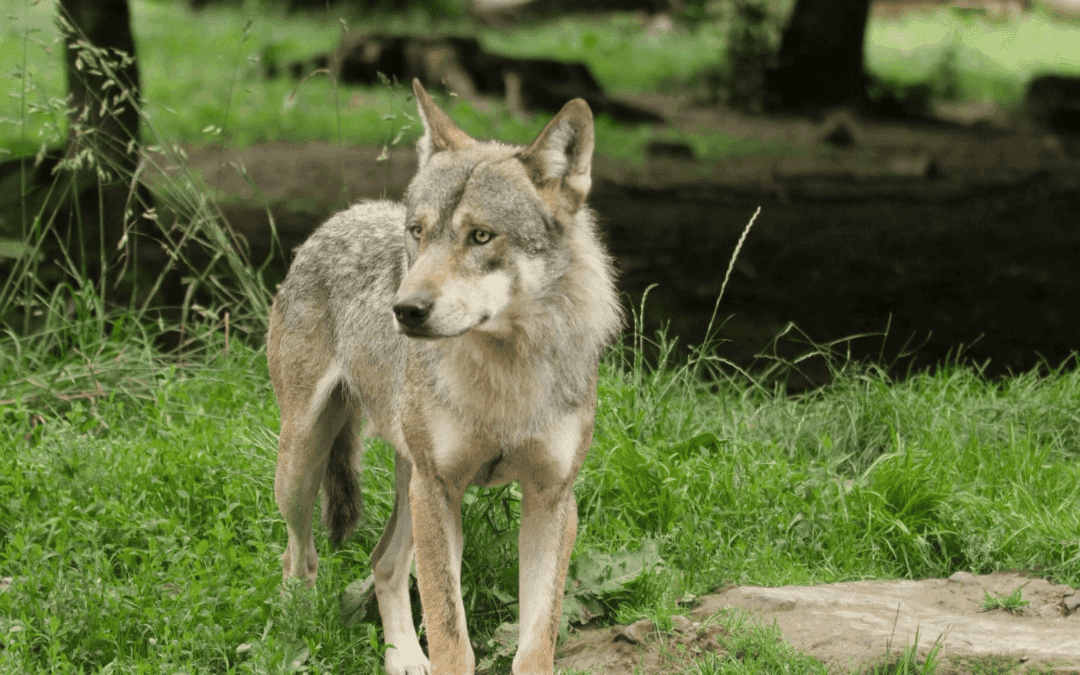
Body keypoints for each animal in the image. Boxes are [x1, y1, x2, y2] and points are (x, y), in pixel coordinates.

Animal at [266, 79, 622, 675]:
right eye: (418, 232)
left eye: (480, 236)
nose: (405, 309)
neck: (505, 374)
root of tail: (347, 213)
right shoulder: (440, 490)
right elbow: (451, 636)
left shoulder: (551, 499)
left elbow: (536, 641)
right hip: (306, 460)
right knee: (301, 555)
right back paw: (299, 635)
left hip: (409, 483)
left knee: (382, 562)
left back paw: (405, 660)